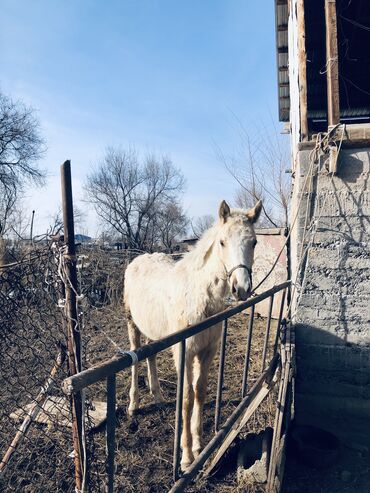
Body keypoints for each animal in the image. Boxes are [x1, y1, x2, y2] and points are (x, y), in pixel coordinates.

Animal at [125, 199, 264, 468]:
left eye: (254, 242)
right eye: (222, 242)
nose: (241, 288)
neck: (200, 297)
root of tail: (138, 259)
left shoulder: (208, 350)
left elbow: (200, 390)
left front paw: (199, 444)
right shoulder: (185, 352)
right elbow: (187, 397)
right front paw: (186, 456)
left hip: (153, 332)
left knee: (150, 355)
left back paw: (157, 395)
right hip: (132, 324)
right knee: (136, 357)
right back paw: (134, 404)